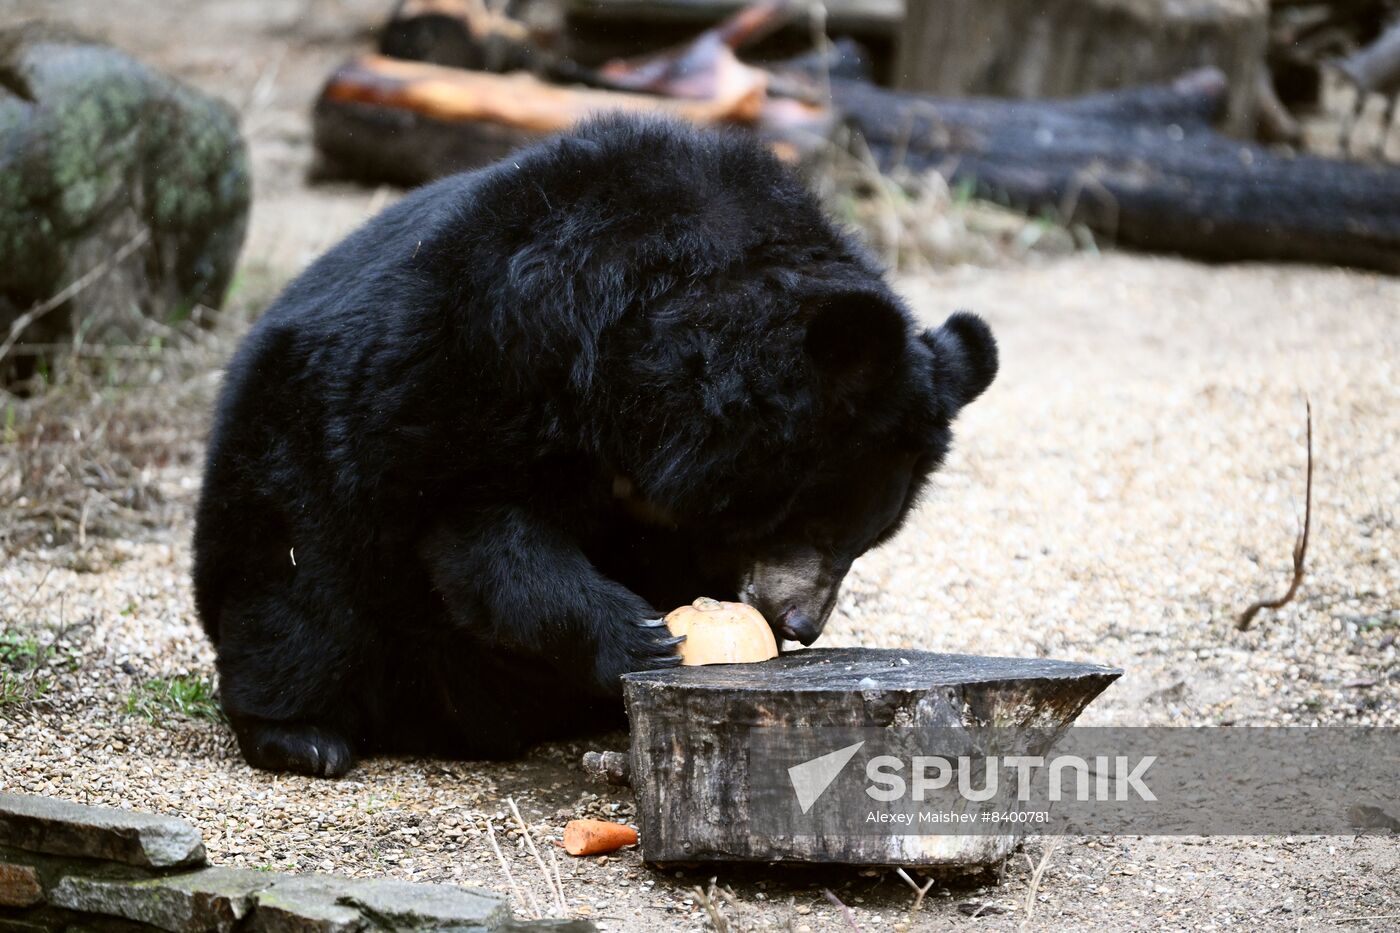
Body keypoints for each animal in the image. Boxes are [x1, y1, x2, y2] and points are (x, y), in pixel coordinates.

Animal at [194, 112, 996, 773]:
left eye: (867, 541)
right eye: (816, 521)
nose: (800, 624)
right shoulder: (487, 361)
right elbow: (484, 535)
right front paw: (642, 637)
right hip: (290, 457)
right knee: (299, 595)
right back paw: (304, 735)